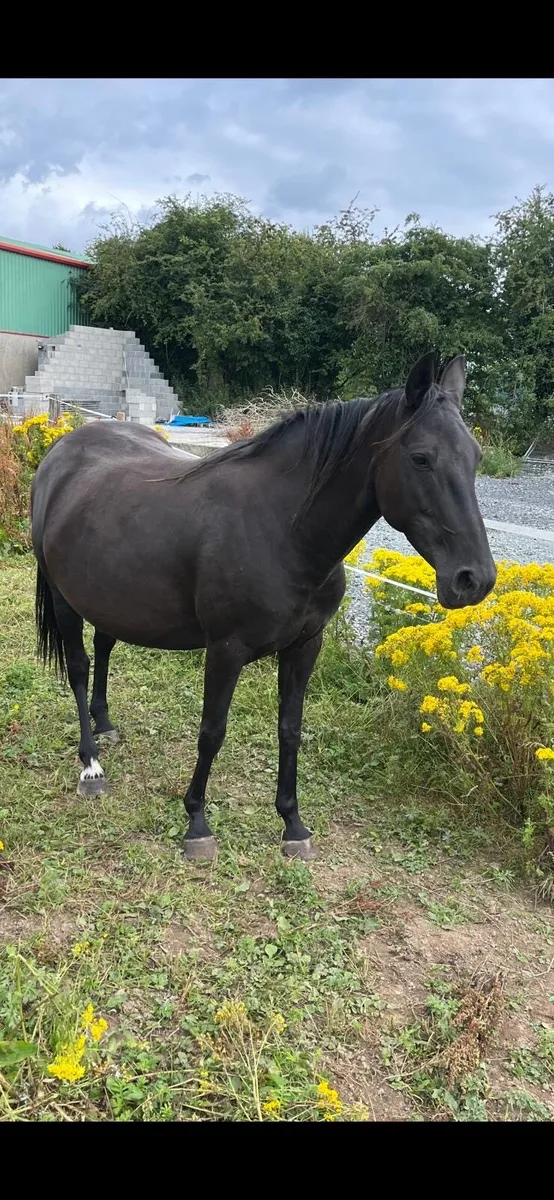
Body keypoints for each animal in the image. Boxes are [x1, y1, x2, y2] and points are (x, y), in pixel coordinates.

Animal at [31, 351, 496, 862]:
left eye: (475, 457)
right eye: (421, 458)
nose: (474, 579)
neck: (283, 530)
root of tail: (65, 447)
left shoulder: (305, 646)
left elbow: (290, 728)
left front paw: (292, 823)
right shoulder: (225, 650)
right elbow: (212, 731)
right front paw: (197, 822)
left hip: (110, 597)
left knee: (105, 646)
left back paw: (106, 724)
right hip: (64, 598)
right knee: (78, 668)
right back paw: (91, 765)